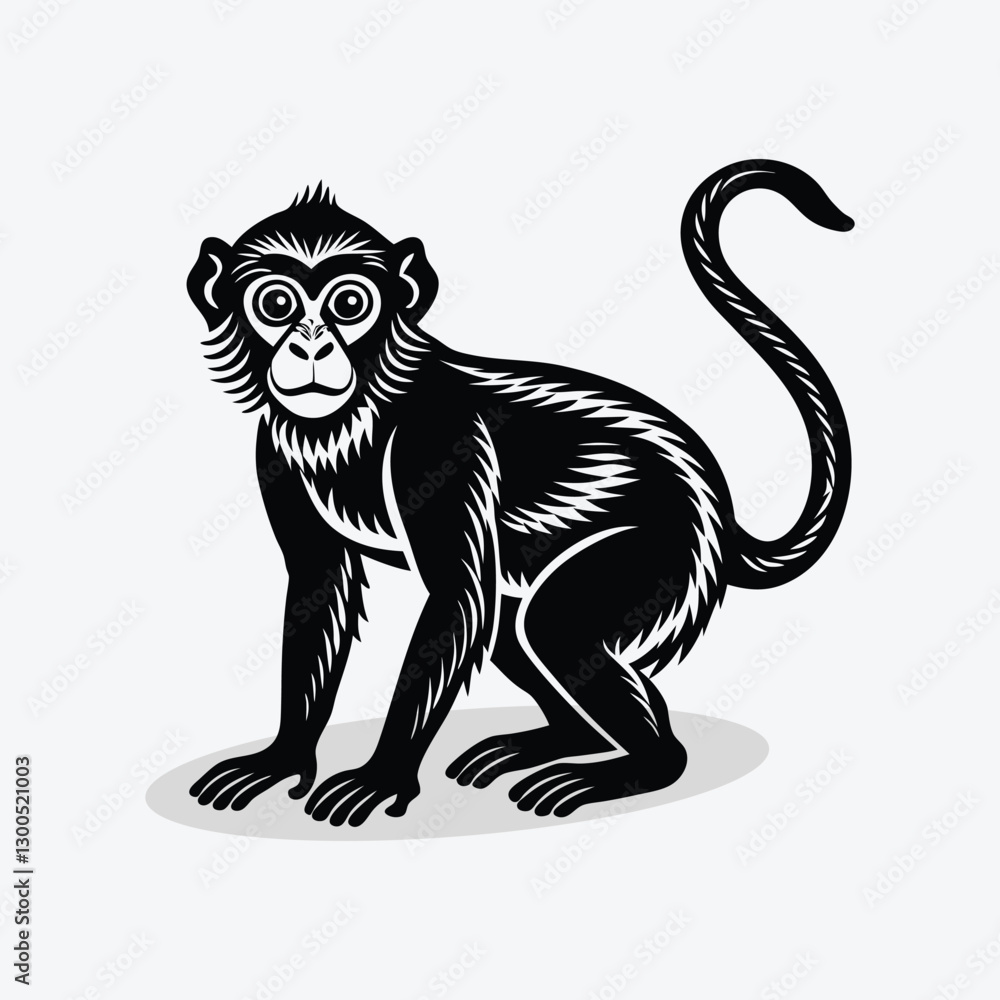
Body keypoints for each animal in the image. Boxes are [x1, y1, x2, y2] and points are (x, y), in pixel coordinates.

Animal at [186, 160, 852, 827]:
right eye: (276, 303)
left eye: (350, 303)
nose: (311, 345)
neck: (363, 410)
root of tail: (720, 510)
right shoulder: (274, 451)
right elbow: (317, 589)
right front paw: (283, 758)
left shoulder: (438, 439)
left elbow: (454, 600)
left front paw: (382, 773)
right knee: (516, 631)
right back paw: (567, 740)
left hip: (666, 550)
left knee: (556, 626)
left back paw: (644, 763)